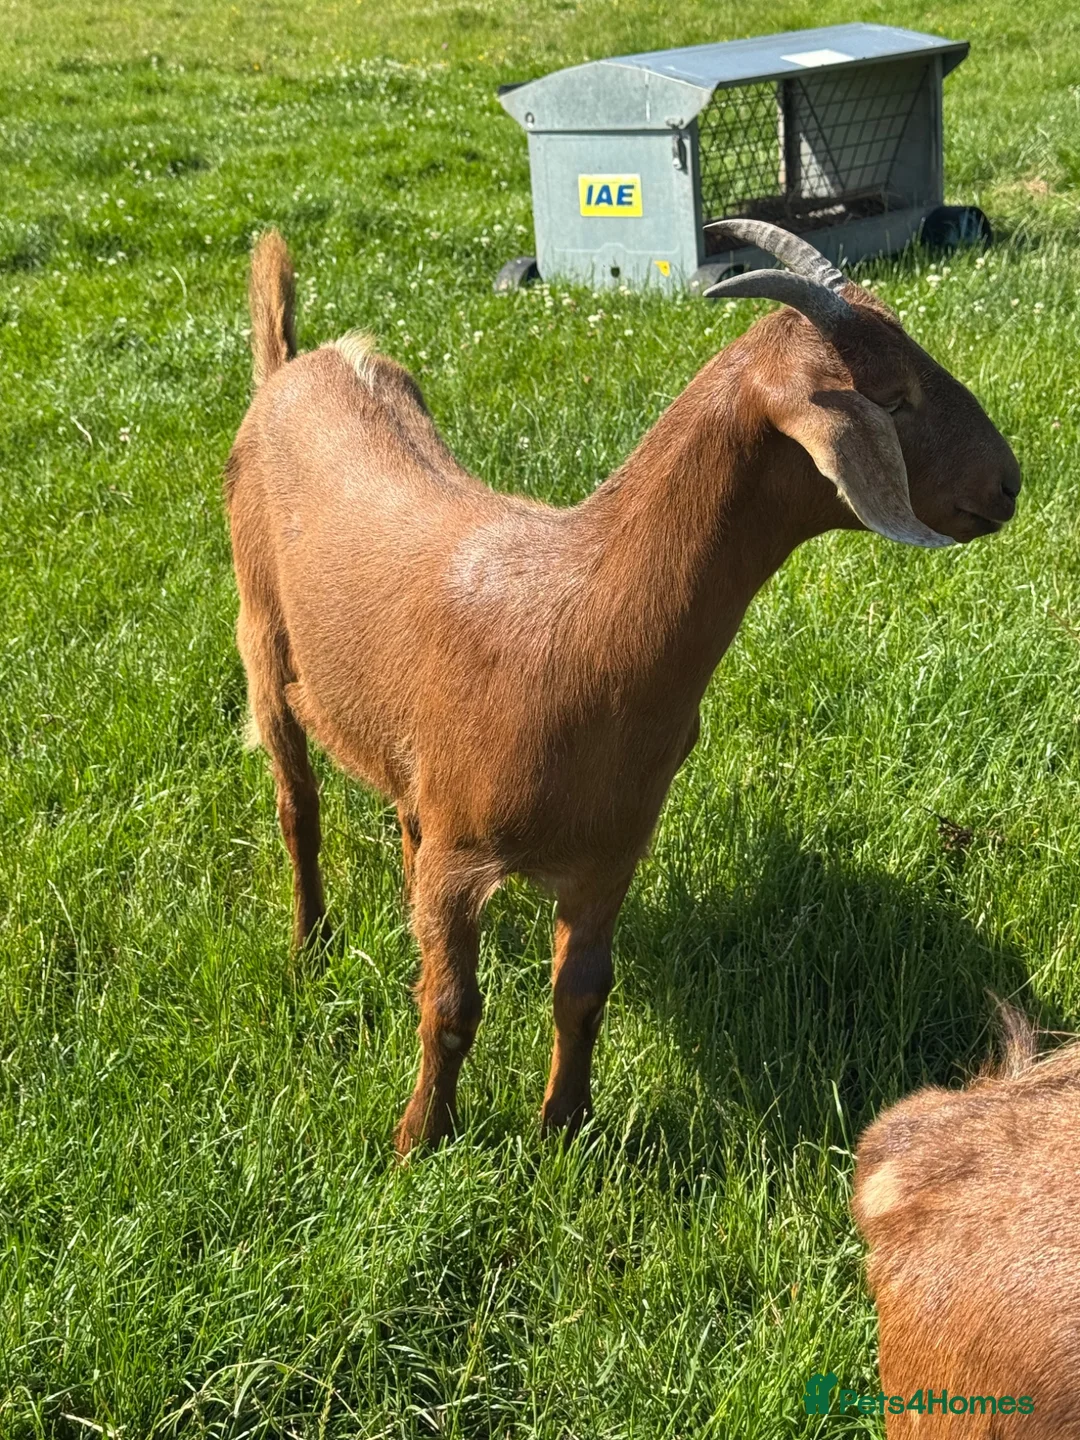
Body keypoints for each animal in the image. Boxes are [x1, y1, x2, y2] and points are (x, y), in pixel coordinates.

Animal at [225, 219, 1020, 1152]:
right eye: (892, 400)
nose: (1009, 481)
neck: (578, 622)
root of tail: (294, 365)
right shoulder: (464, 854)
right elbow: (452, 1009)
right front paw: (420, 1140)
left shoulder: (610, 851)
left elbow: (582, 995)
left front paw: (566, 1128)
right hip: (261, 639)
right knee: (298, 808)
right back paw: (310, 943)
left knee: (398, 819)